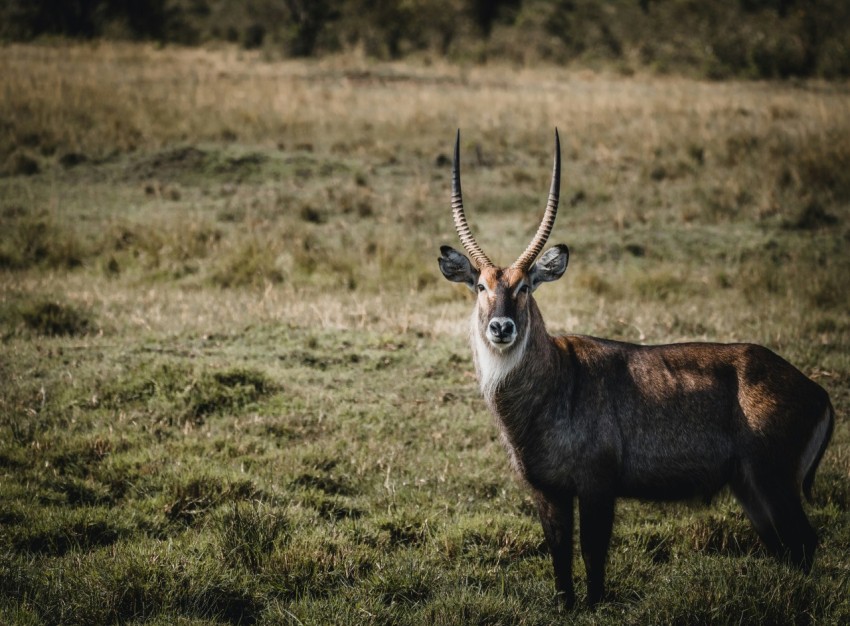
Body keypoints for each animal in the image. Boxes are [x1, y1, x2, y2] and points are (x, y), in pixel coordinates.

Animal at [438, 129, 835, 608]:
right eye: (480, 286)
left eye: (526, 286)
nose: (501, 327)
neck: (556, 382)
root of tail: (816, 390)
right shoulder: (547, 492)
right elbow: (560, 560)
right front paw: (566, 606)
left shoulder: (597, 486)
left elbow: (593, 556)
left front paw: (593, 607)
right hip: (751, 489)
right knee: (787, 549)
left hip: (775, 482)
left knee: (805, 543)